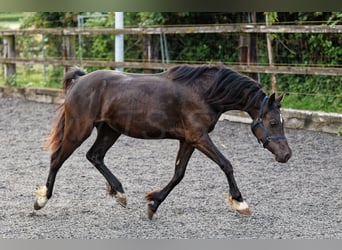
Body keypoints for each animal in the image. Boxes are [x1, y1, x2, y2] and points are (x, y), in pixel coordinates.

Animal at [34, 65, 292, 219]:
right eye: (273, 123)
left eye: (281, 121)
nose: (286, 155)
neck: (205, 93)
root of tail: (78, 81)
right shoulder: (199, 137)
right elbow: (226, 164)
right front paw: (240, 203)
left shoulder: (188, 140)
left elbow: (178, 174)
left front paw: (153, 203)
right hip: (79, 129)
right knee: (57, 159)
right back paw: (41, 199)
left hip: (109, 130)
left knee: (94, 156)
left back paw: (119, 193)